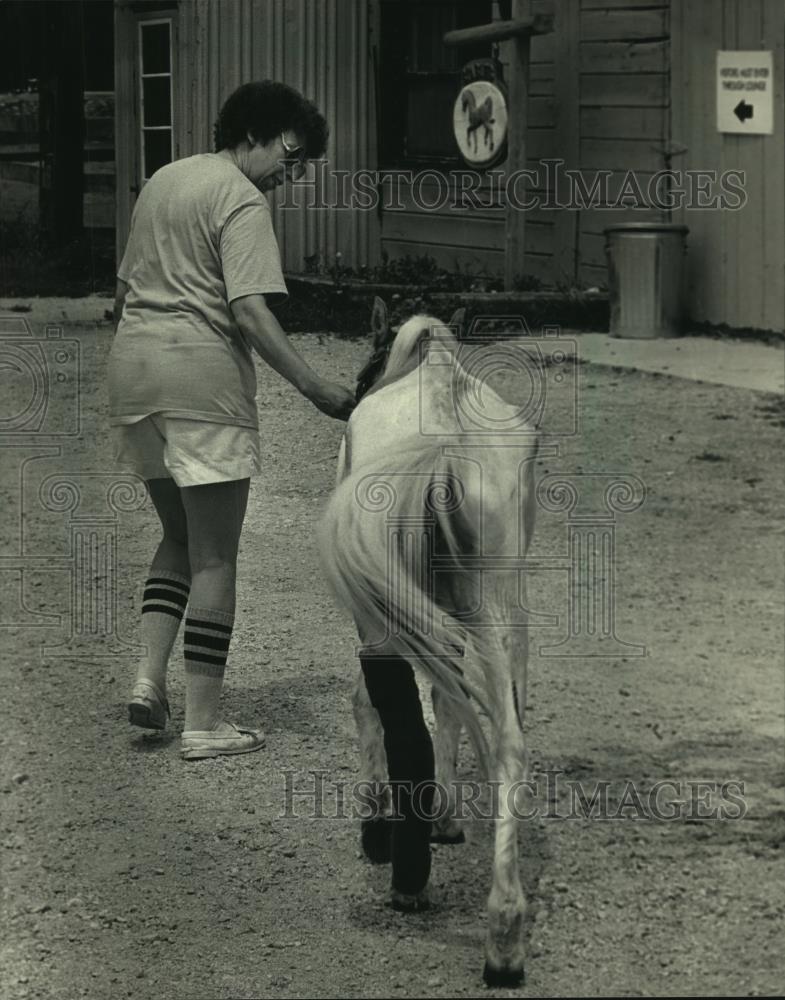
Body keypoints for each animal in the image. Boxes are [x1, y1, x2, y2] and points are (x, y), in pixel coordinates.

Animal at [316, 294, 536, 984]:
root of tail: (443, 437)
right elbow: (450, 702)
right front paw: (443, 819)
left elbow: (373, 704)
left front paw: (379, 819)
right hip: (498, 610)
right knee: (509, 742)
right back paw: (504, 937)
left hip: (396, 615)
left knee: (393, 709)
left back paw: (406, 873)